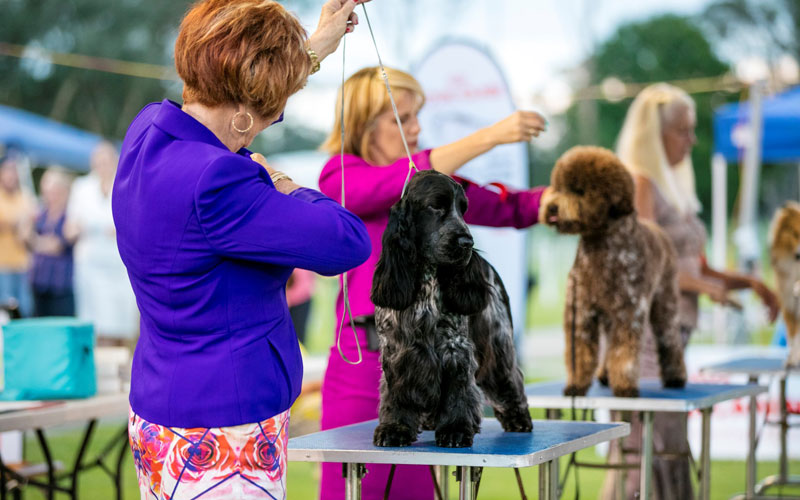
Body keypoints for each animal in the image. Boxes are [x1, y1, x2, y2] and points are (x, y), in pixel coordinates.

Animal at [540, 146, 684, 396]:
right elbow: (580, 353)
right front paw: (575, 385)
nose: (552, 208)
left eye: (579, 190)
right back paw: (605, 376)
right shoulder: (581, 313)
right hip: (608, 315)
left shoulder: (629, 313)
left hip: (665, 303)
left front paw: (625, 387)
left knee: (670, 339)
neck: (600, 249)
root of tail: (661, 234)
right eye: (557, 187)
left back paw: (676, 377)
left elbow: (624, 353)